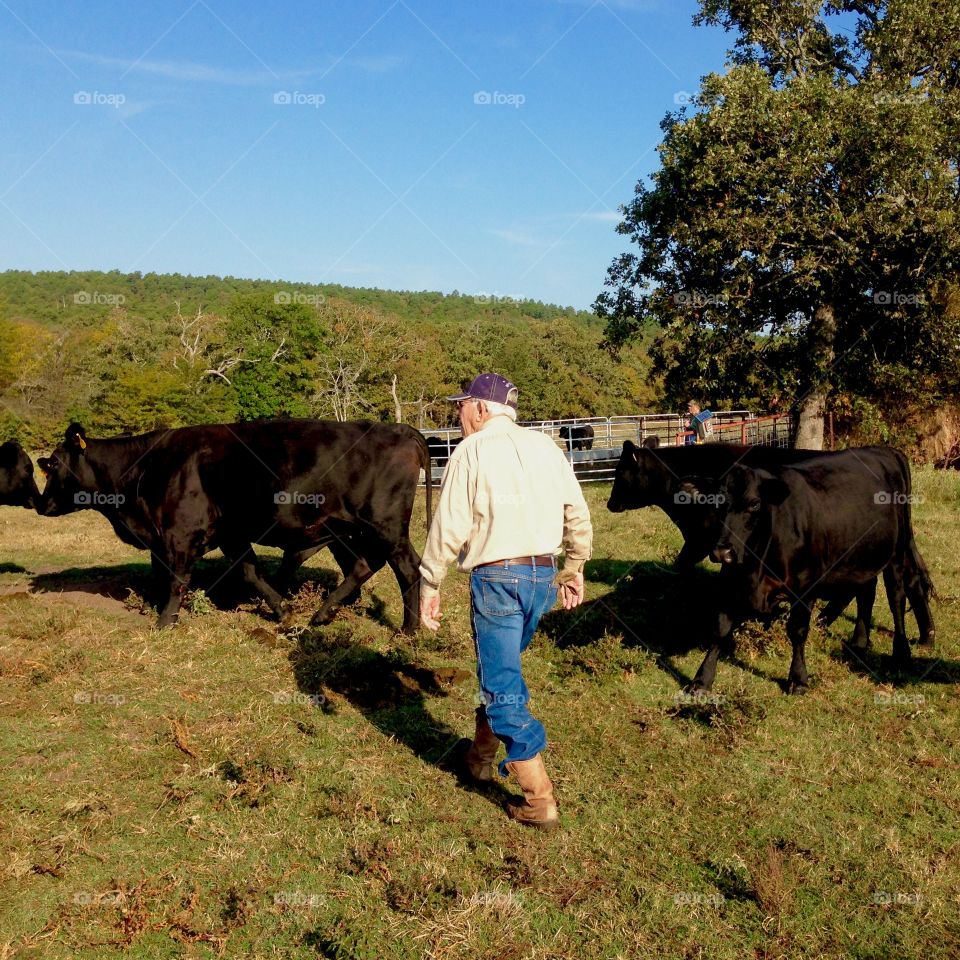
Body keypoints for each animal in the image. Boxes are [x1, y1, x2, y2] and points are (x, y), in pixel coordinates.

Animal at [34, 422, 432, 632]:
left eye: (53, 465)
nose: (41, 503)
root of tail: (402, 429)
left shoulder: (179, 535)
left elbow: (176, 579)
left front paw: (165, 622)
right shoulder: (230, 536)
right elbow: (250, 573)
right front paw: (282, 610)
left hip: (385, 527)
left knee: (407, 568)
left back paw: (409, 629)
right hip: (347, 530)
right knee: (363, 565)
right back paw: (325, 612)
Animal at [688, 446, 932, 692]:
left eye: (754, 504)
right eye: (716, 503)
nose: (723, 552)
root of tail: (886, 450)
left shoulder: (805, 587)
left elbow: (797, 630)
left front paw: (798, 678)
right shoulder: (730, 581)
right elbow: (720, 627)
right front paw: (702, 679)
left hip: (897, 552)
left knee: (897, 597)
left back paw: (901, 653)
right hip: (863, 554)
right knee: (866, 591)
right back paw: (859, 644)